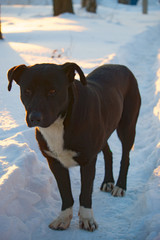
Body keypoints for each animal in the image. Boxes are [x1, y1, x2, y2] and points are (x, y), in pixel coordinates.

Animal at [7, 62, 141, 232]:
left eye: (53, 91)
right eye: (27, 91)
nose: (35, 118)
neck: (59, 123)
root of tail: (121, 66)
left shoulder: (88, 160)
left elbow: (85, 193)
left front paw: (87, 219)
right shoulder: (54, 162)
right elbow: (65, 193)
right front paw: (63, 218)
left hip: (127, 126)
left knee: (125, 157)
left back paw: (120, 186)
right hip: (104, 130)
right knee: (108, 153)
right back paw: (108, 181)